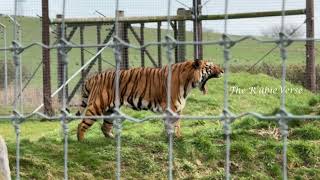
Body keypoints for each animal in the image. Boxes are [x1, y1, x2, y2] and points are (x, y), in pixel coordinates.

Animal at [76, 59, 224, 141]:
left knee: (105, 126)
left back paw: (113, 139)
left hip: (111, 110)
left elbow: (177, 125)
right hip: (97, 106)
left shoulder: (178, 109)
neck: (189, 84)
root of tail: (92, 78)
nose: (222, 70)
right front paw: (172, 137)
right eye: (211, 66)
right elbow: (171, 124)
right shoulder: (171, 107)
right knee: (82, 124)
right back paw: (82, 141)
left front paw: (178, 137)